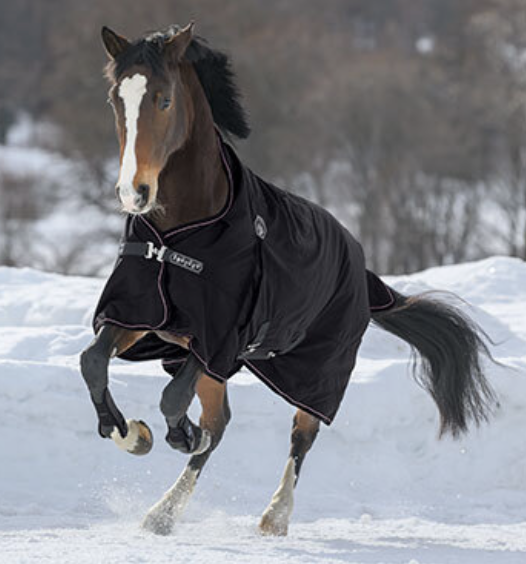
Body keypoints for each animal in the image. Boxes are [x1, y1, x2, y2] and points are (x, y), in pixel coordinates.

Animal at [79, 24, 500, 536]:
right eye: (115, 100)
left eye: (163, 99)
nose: (133, 193)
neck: (179, 234)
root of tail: (359, 262)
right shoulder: (141, 317)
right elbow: (93, 362)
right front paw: (131, 434)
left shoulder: (219, 339)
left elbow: (172, 398)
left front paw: (175, 435)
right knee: (221, 423)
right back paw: (163, 513)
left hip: (320, 370)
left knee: (301, 434)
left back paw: (273, 515)